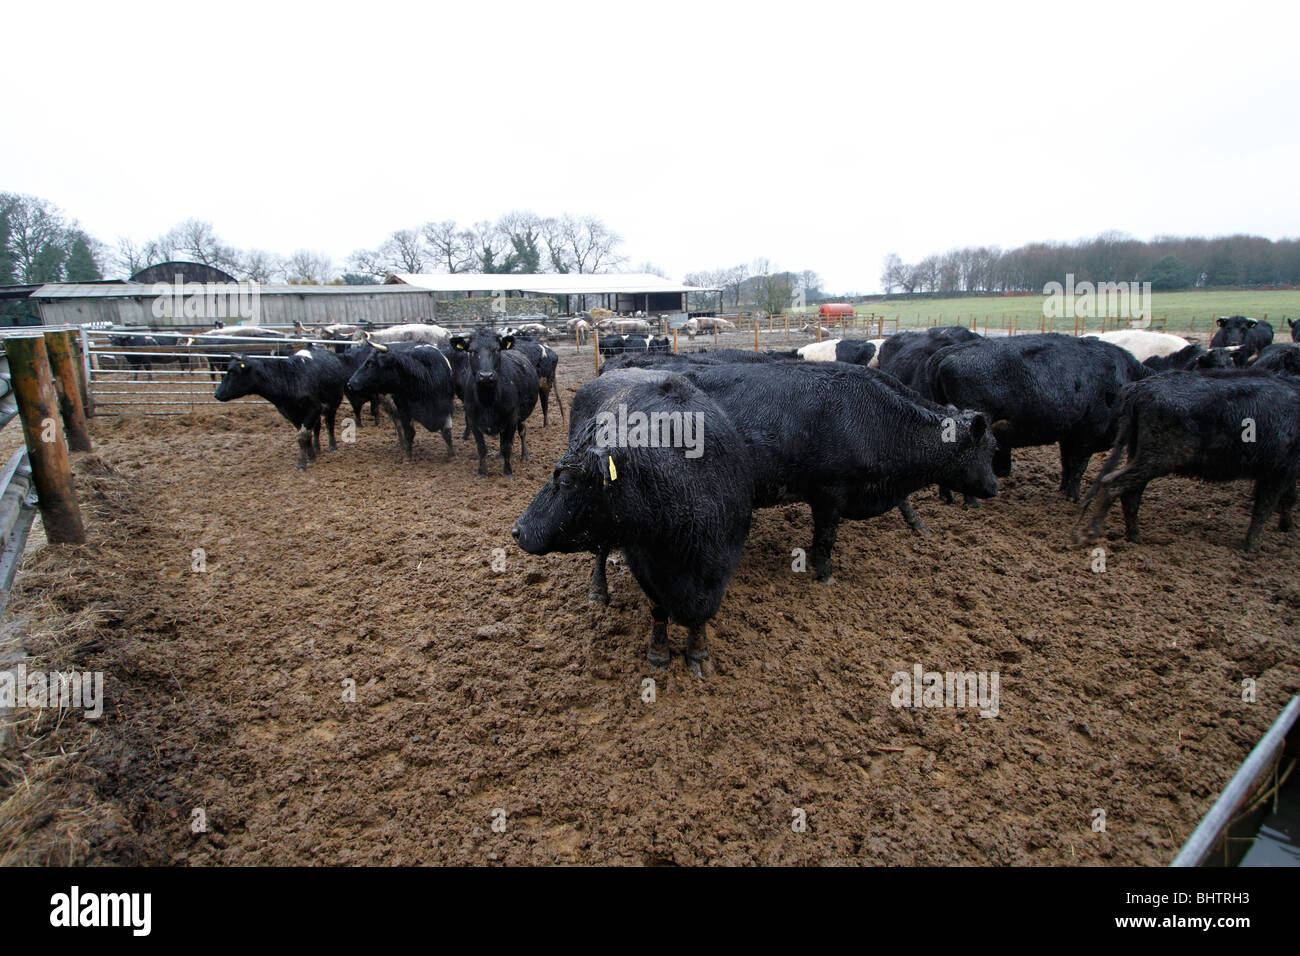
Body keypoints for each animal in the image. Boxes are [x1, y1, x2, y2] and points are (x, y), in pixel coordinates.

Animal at [213, 347, 349, 470]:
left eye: (232, 372)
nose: (217, 394)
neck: (290, 379)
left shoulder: (314, 408)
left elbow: (302, 436)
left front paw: (301, 463)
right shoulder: (291, 414)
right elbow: (304, 435)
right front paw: (311, 456)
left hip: (332, 403)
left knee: (329, 423)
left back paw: (332, 447)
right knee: (317, 427)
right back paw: (317, 449)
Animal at [447, 329, 539, 478]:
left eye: (496, 349)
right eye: (471, 350)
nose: (486, 375)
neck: (487, 400)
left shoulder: (512, 417)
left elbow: (507, 445)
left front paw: (507, 472)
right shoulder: (472, 419)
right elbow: (481, 447)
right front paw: (482, 471)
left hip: (520, 416)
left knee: (522, 431)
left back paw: (524, 455)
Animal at [513, 369, 753, 675]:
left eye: (566, 481)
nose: (518, 531)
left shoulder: (719, 566)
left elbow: (702, 615)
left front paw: (699, 654)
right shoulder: (644, 565)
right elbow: (658, 610)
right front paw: (659, 655)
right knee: (600, 553)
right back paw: (597, 591)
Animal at [922, 333, 1152, 500]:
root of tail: (947, 353)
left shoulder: (1070, 434)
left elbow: (1067, 464)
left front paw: (1063, 490)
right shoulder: (1088, 433)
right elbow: (1078, 467)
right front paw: (1073, 498)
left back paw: (947, 498)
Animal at [1079, 370, 1300, 551]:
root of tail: (1139, 389)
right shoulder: (1280, 471)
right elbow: (1266, 507)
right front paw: (1254, 548)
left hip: (1141, 453)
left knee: (1130, 492)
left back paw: (1134, 538)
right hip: (1161, 456)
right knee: (1113, 483)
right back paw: (1090, 533)